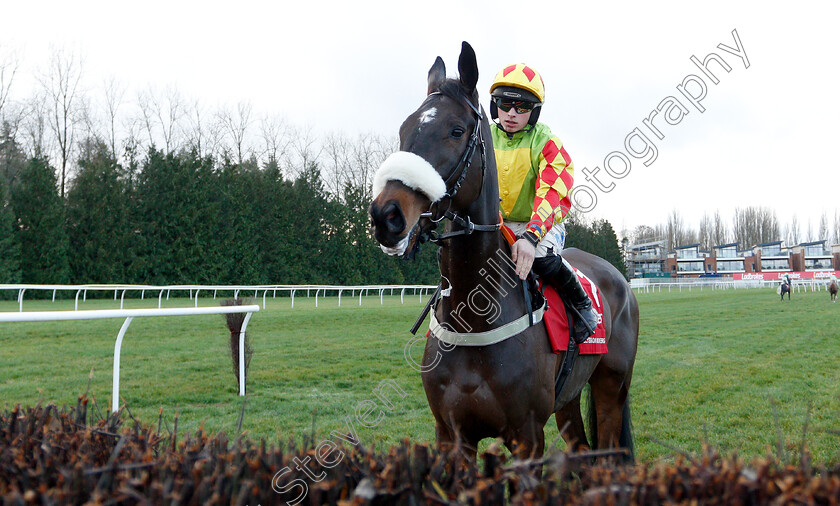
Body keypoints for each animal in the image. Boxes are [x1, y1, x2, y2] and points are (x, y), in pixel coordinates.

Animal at [370, 43, 640, 460]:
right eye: (404, 129)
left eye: (456, 130)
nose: (387, 215)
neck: (475, 314)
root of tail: (619, 278)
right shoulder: (451, 434)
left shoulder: (527, 435)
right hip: (568, 398)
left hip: (612, 386)